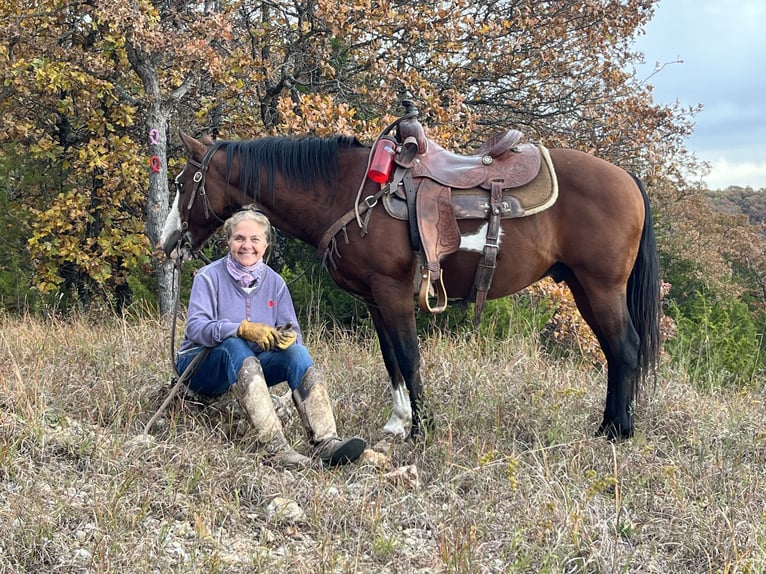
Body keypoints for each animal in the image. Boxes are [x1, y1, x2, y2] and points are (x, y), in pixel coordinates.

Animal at [159, 126, 660, 441]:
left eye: (182, 182)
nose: (166, 243)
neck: (350, 192)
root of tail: (628, 179)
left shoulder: (393, 292)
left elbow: (409, 355)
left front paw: (423, 428)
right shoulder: (375, 299)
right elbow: (391, 359)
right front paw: (399, 422)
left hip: (601, 287)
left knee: (626, 348)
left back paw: (618, 433)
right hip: (583, 288)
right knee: (615, 352)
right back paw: (609, 426)